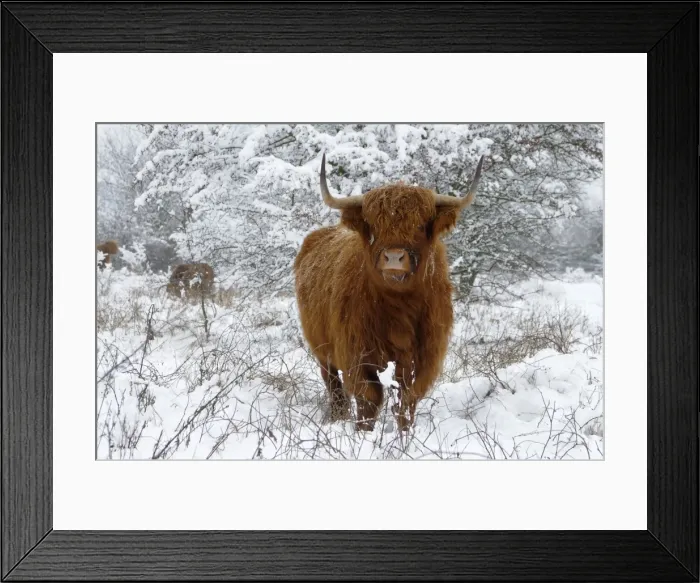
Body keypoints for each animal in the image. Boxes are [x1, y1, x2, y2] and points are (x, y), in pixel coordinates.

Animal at [294, 153, 484, 432]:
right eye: (374, 227)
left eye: (420, 225)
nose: (394, 257)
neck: (399, 309)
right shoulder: (355, 356)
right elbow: (368, 400)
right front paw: (363, 434)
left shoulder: (423, 359)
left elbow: (406, 401)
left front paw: (405, 434)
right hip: (322, 350)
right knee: (334, 386)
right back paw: (338, 416)